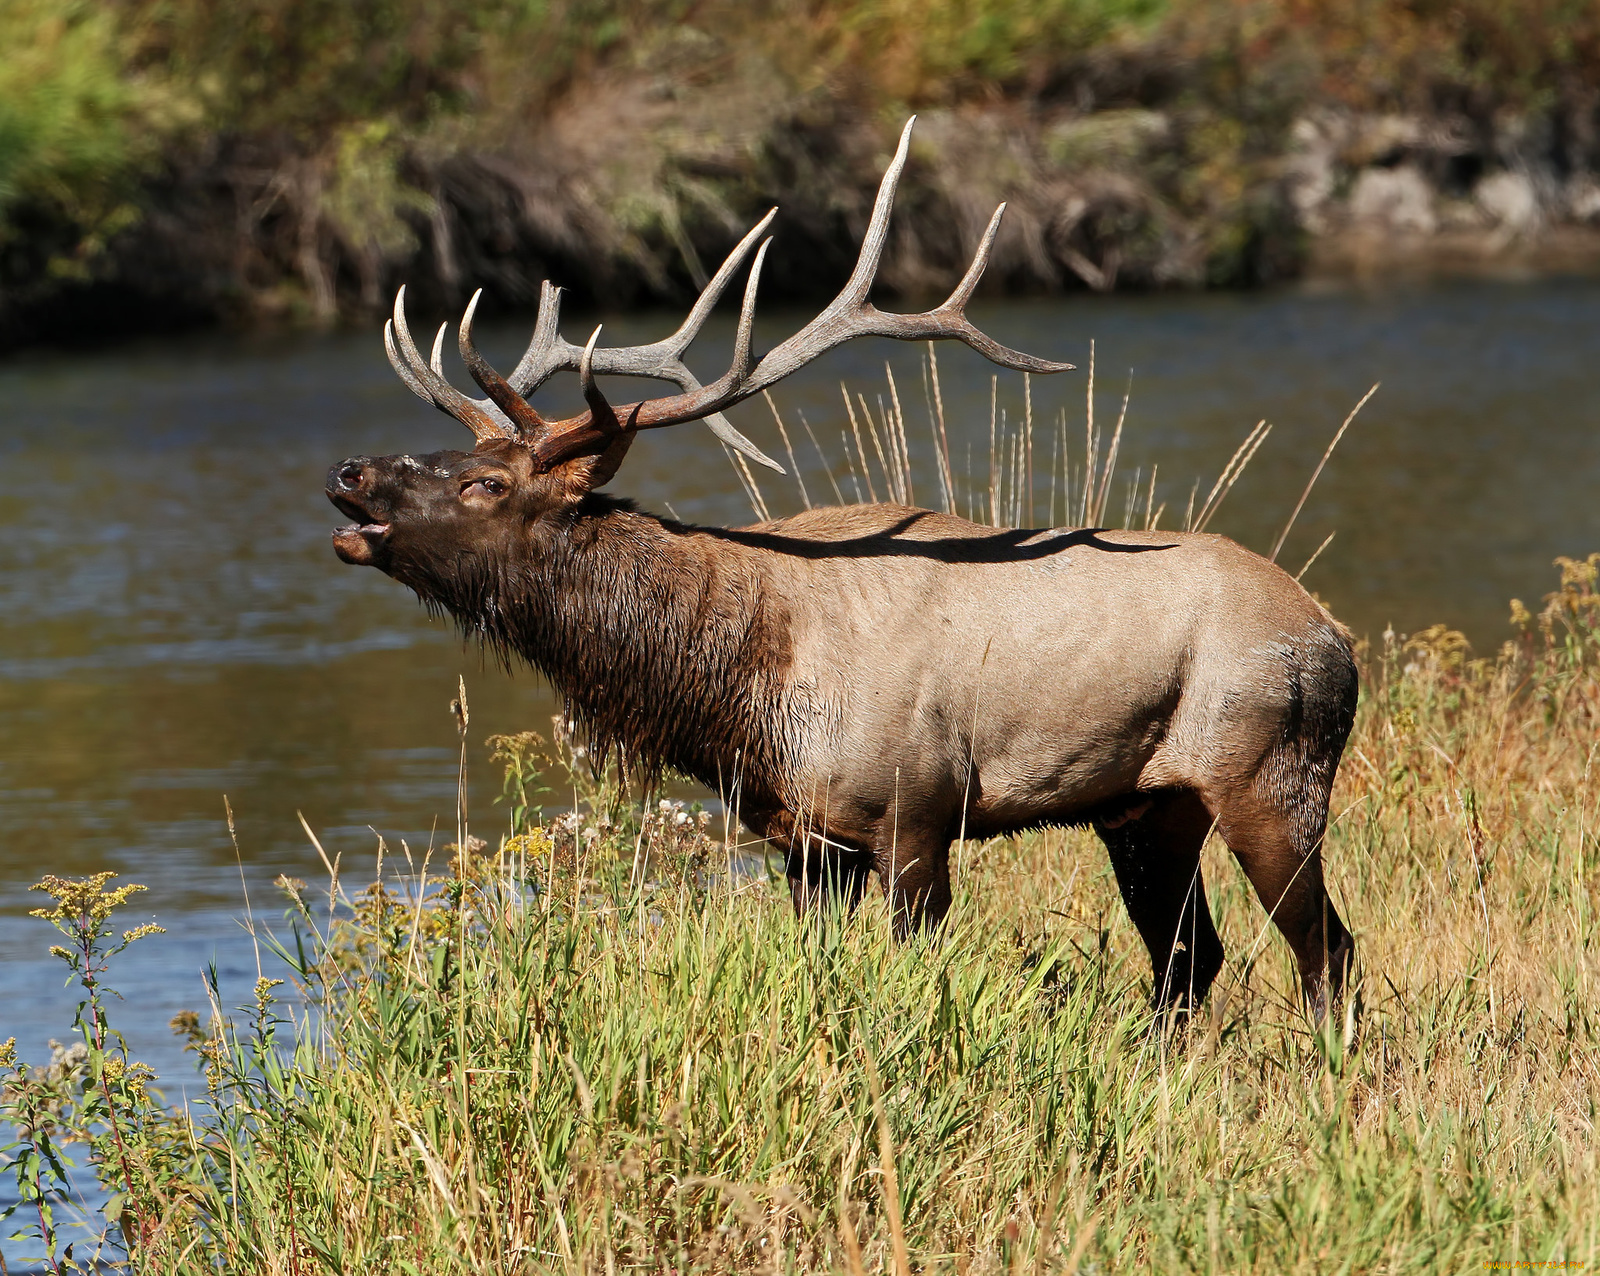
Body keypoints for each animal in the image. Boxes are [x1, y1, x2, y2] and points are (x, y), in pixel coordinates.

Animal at [324, 119, 1350, 1016]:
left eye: (486, 482)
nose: (349, 472)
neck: (742, 696)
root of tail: (1333, 636)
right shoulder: (805, 841)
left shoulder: (915, 814)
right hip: (1146, 806)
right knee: (1190, 956)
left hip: (1272, 769)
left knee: (1325, 948)